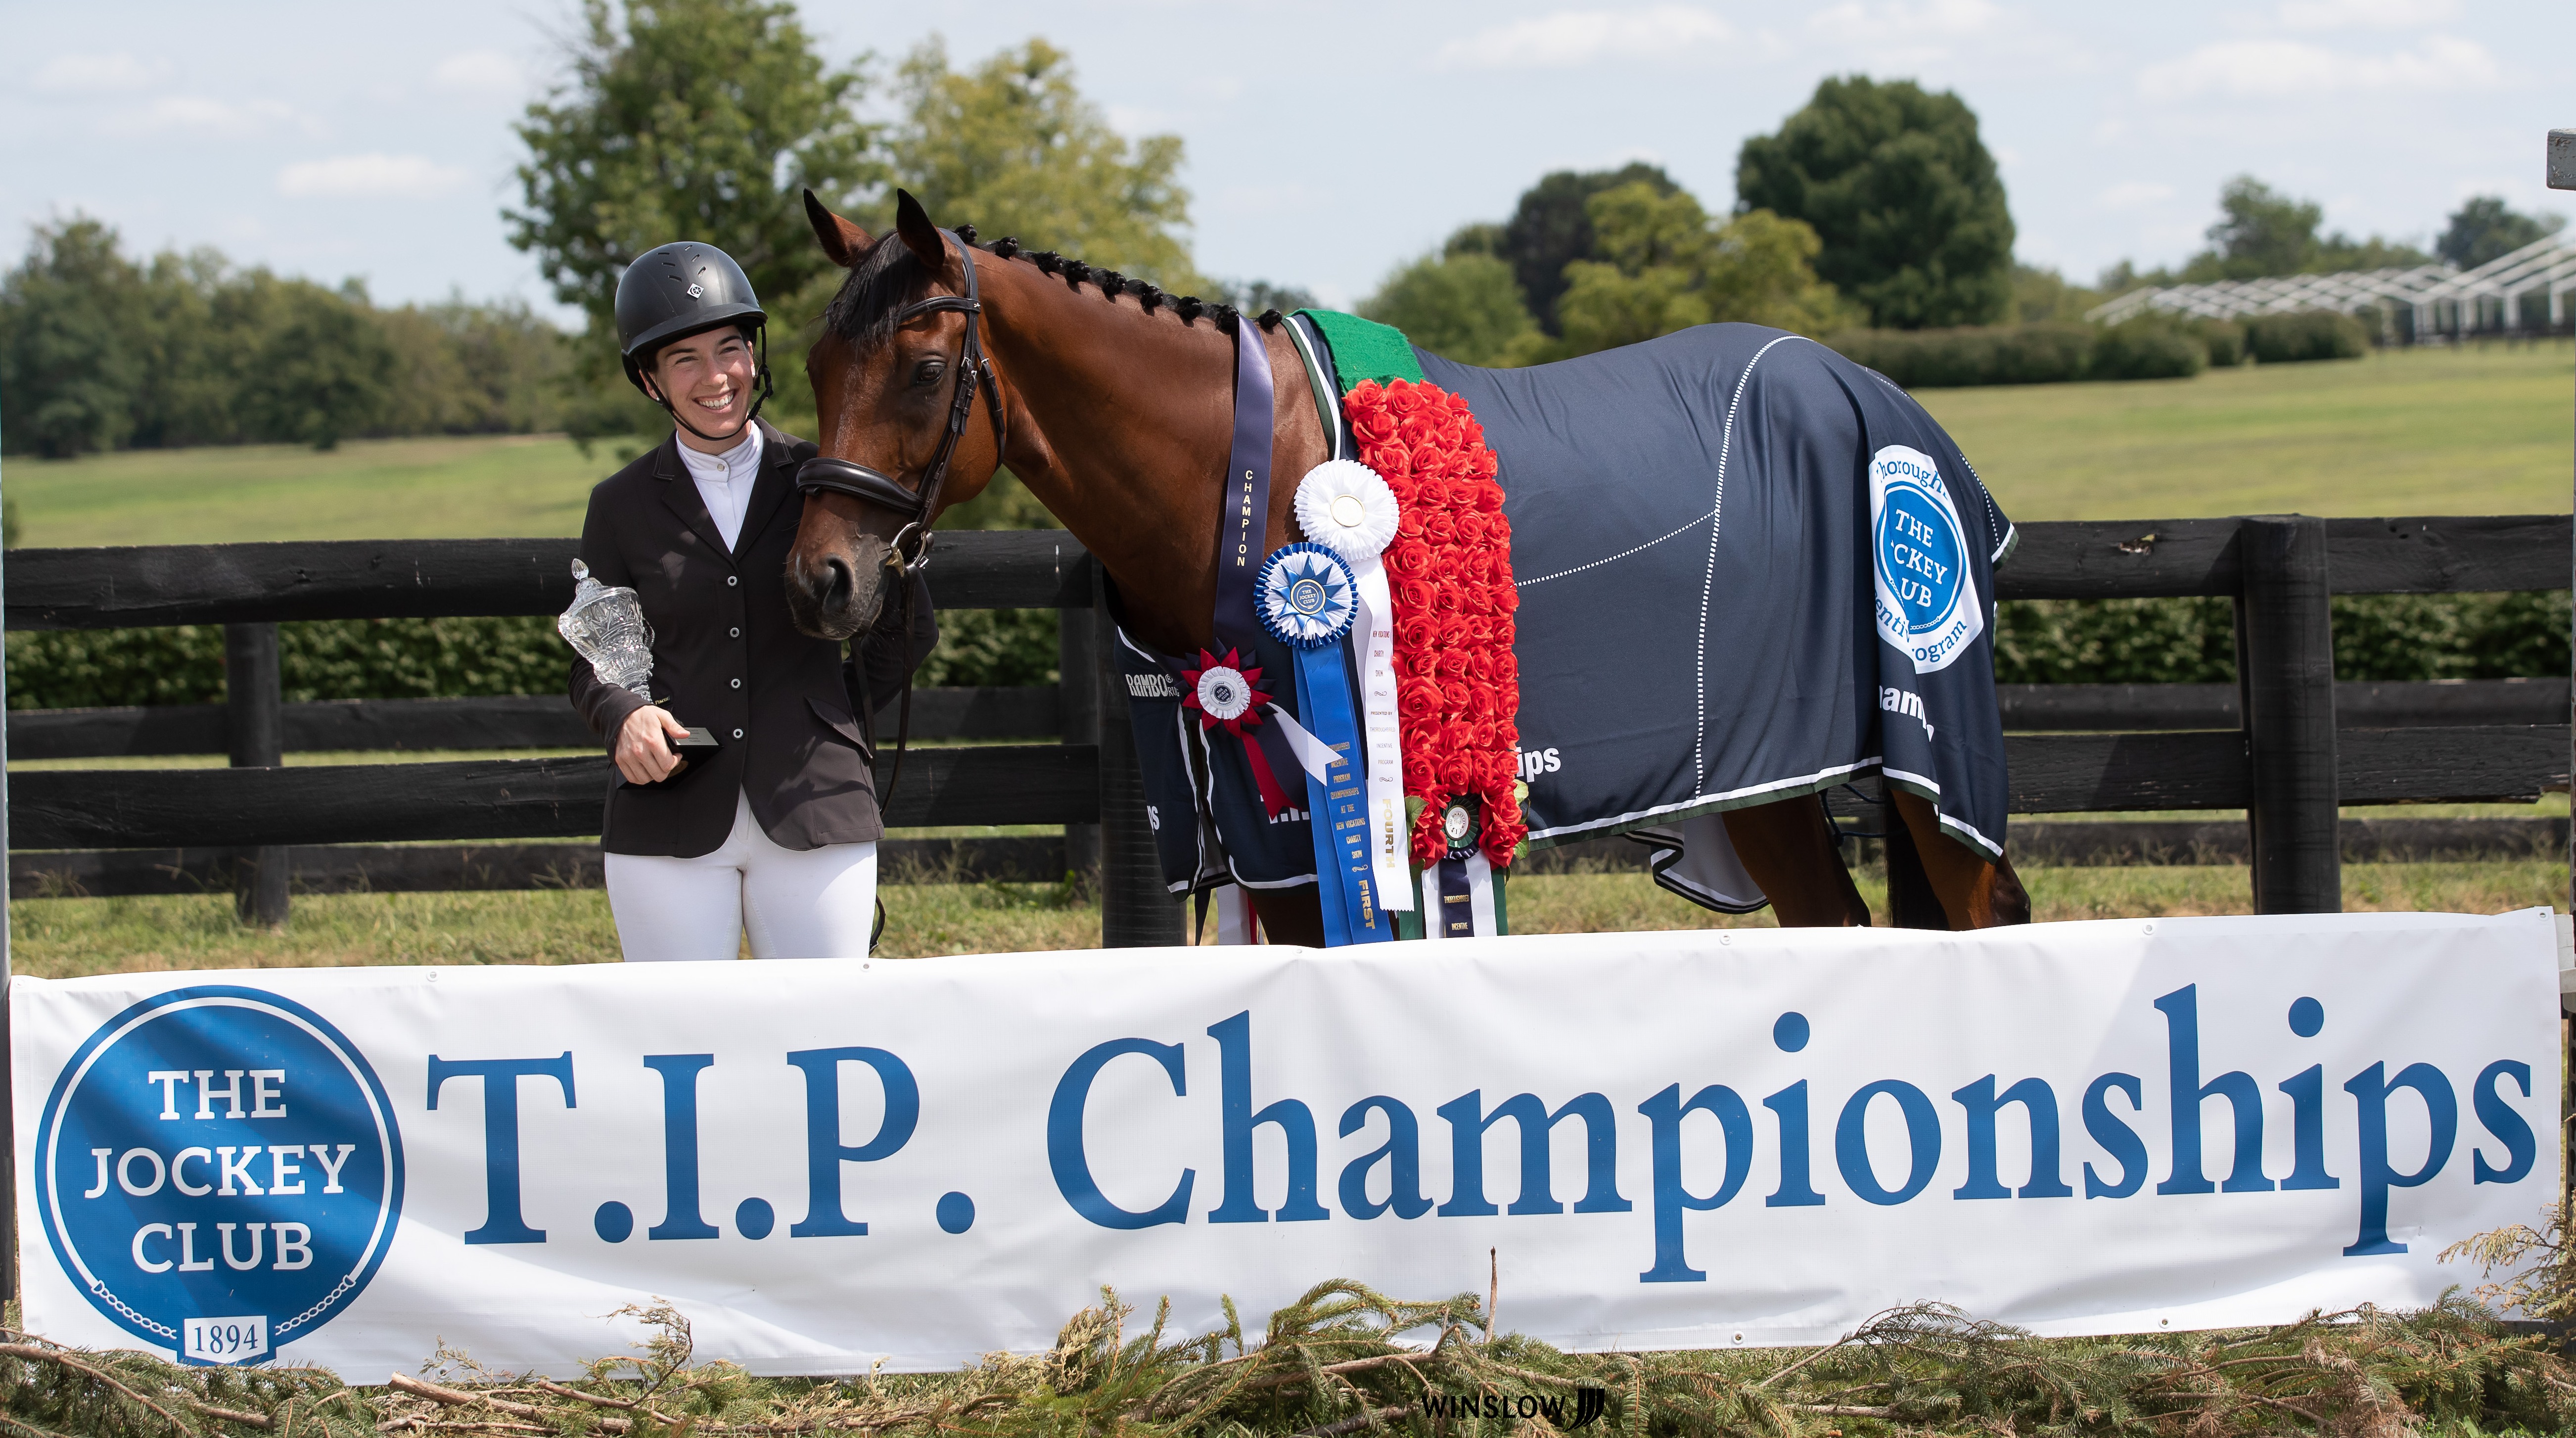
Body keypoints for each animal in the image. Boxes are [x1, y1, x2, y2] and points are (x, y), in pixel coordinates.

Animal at [773, 194, 2020, 958]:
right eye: (817, 364)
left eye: (923, 369)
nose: (821, 579)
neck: (1240, 474)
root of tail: (1880, 400)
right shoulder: (1274, 842)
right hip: (1769, 781)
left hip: (1930, 759)